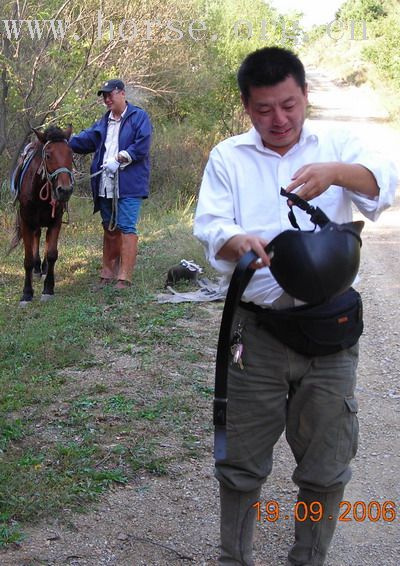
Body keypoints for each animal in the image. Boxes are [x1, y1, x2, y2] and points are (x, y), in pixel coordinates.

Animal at [10, 125, 74, 306]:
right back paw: (38, 268)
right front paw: (26, 293)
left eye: (70, 153)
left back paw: (43, 267)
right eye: (48, 155)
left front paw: (48, 289)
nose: (64, 190)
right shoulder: (26, 223)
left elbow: (52, 254)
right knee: (37, 237)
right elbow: (27, 260)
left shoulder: (56, 222)